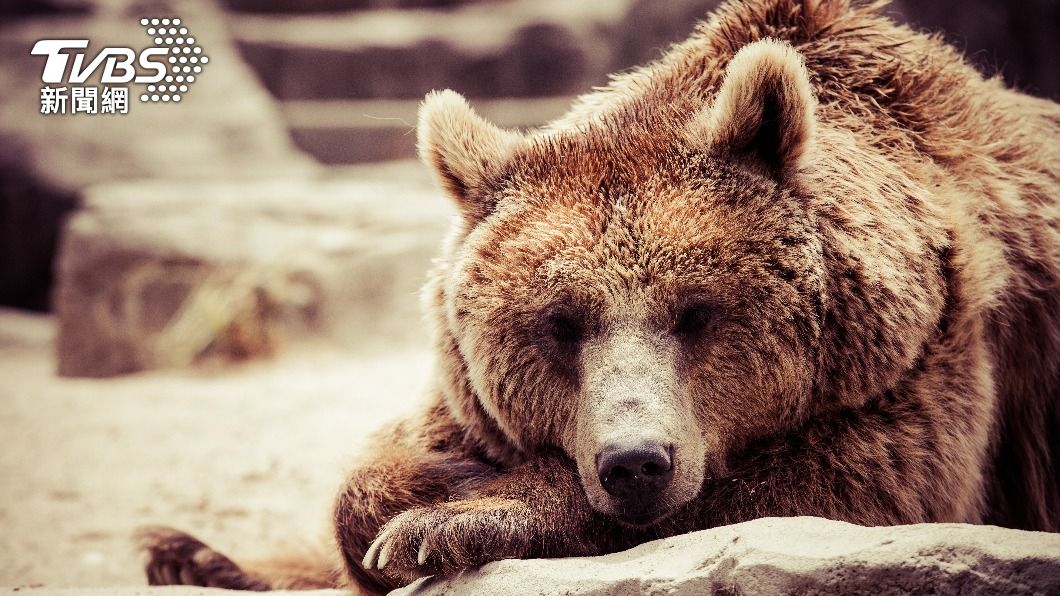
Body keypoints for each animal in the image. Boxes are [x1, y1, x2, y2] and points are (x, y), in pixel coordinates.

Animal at [140, 0, 1060, 592]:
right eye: (561, 323)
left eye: (697, 312)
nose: (635, 462)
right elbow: (368, 482)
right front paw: (420, 484)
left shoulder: (928, 363)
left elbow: (828, 488)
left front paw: (446, 522)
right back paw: (187, 553)